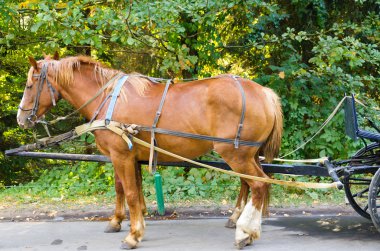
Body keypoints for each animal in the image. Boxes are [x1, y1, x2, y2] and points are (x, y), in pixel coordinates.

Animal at [17, 54, 282, 249]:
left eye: (30, 85)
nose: (21, 118)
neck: (108, 98)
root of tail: (264, 93)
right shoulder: (123, 156)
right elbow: (122, 188)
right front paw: (118, 221)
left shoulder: (122, 155)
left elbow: (131, 194)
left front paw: (134, 235)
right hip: (248, 155)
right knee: (256, 183)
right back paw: (246, 227)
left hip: (236, 154)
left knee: (258, 185)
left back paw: (244, 232)